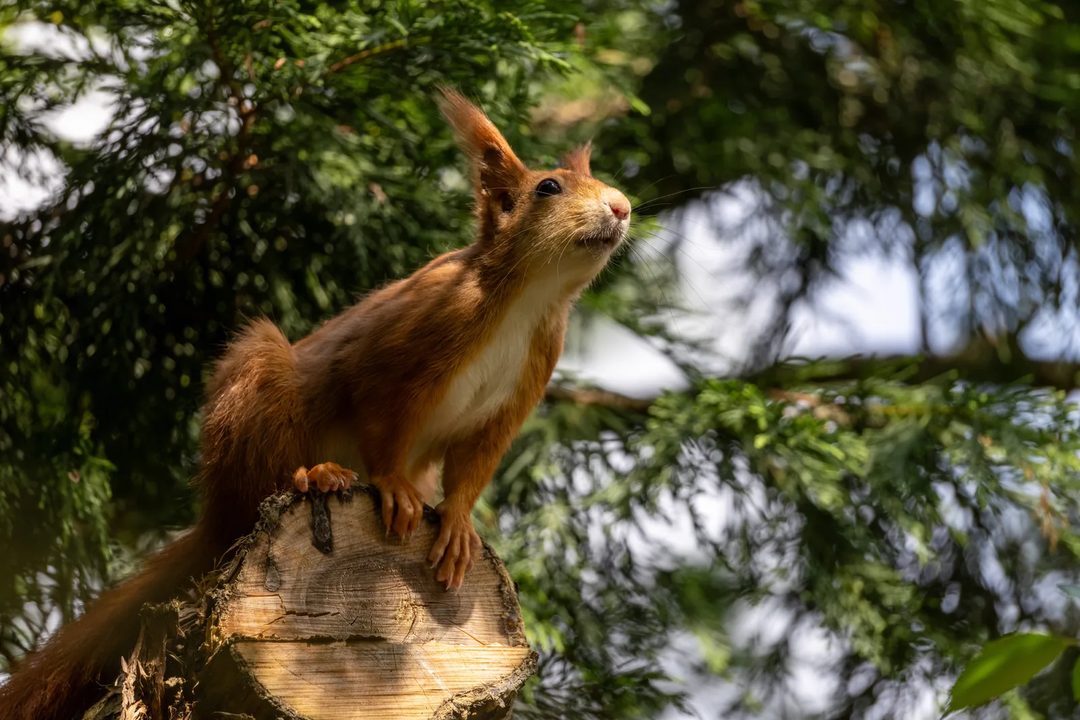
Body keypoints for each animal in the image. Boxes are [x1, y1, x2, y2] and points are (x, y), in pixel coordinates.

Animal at [0, 87, 631, 720]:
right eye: (547, 187)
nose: (623, 207)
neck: (528, 298)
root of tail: (213, 520)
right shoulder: (409, 339)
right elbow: (380, 416)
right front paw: (392, 486)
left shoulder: (518, 392)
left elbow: (475, 465)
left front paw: (456, 523)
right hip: (262, 390)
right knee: (263, 478)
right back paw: (315, 474)